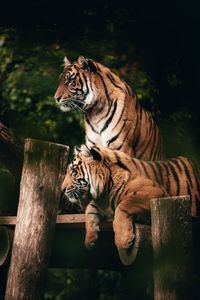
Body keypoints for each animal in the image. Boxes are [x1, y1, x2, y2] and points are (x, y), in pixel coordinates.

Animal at [62, 144, 200, 264]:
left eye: (73, 172)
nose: (62, 189)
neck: (105, 191)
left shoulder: (155, 191)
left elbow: (123, 206)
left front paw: (123, 240)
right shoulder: (101, 203)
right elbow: (89, 210)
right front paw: (90, 240)